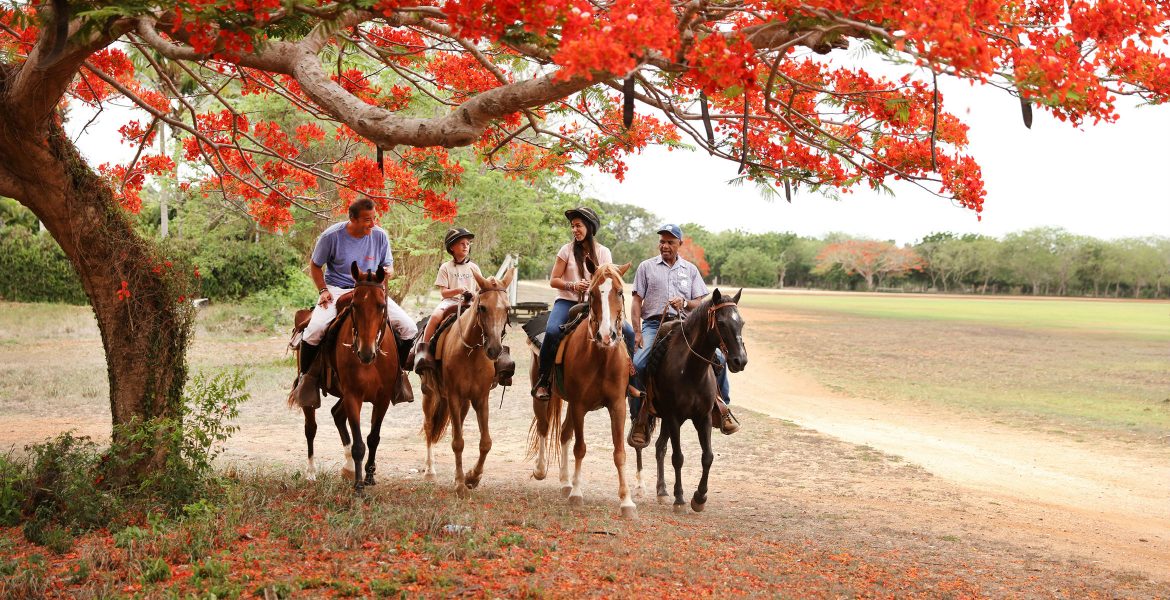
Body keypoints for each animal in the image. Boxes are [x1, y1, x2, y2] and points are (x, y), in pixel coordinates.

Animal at [290, 260, 400, 491]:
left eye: (381, 305)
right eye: (354, 306)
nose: (366, 353)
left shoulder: (383, 398)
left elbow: (373, 438)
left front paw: (369, 476)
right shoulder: (353, 395)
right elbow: (359, 443)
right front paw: (358, 487)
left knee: (337, 414)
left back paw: (348, 467)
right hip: (312, 395)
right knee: (311, 428)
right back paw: (311, 472)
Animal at [421, 267, 512, 495]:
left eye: (507, 308)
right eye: (482, 307)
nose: (494, 349)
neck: (470, 353)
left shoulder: (480, 398)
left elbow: (485, 442)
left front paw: (472, 477)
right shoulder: (453, 395)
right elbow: (458, 442)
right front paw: (461, 484)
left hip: (463, 402)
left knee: (457, 425)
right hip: (431, 393)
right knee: (429, 427)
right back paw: (430, 471)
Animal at [528, 264, 636, 516]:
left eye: (620, 292)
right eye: (593, 293)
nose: (606, 335)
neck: (601, 357)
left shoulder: (617, 406)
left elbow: (619, 452)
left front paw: (626, 501)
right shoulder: (579, 406)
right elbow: (580, 448)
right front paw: (577, 493)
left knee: (563, 433)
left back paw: (565, 482)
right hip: (543, 396)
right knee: (545, 428)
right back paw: (541, 470)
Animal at [631, 287, 748, 512]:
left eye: (742, 323)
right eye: (721, 323)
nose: (740, 360)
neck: (692, 370)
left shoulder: (703, 417)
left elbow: (707, 457)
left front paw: (699, 497)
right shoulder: (674, 417)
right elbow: (678, 458)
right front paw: (679, 498)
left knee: (660, 447)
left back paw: (662, 490)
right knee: (640, 445)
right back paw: (640, 486)